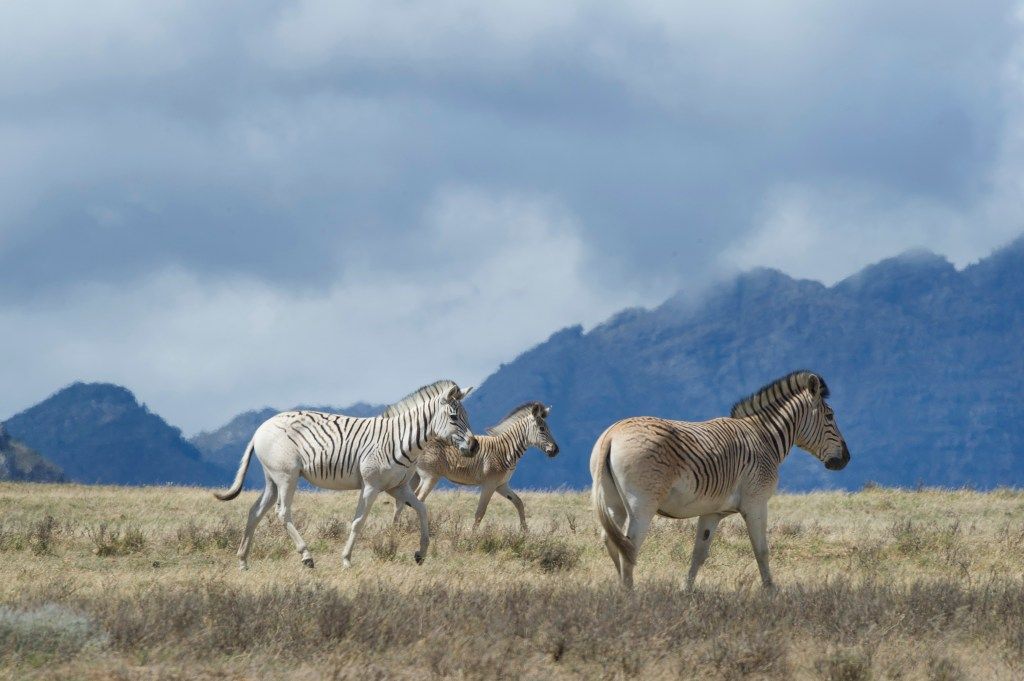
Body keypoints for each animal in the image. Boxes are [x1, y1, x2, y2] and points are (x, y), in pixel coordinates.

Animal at [216, 382, 479, 569]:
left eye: (467, 416)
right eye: (454, 417)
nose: (475, 446)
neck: (400, 440)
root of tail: (260, 429)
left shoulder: (398, 487)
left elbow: (423, 510)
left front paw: (421, 553)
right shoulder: (371, 485)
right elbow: (358, 521)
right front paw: (346, 559)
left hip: (272, 478)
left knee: (255, 511)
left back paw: (243, 561)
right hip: (286, 476)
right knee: (282, 512)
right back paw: (306, 556)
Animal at [589, 368, 851, 585]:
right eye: (830, 416)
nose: (846, 459)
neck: (764, 439)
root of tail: (612, 434)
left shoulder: (711, 512)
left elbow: (699, 555)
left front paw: (687, 593)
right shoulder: (756, 503)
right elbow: (762, 551)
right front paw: (771, 593)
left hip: (613, 502)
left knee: (611, 541)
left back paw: (621, 591)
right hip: (642, 504)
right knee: (629, 546)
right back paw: (630, 596)